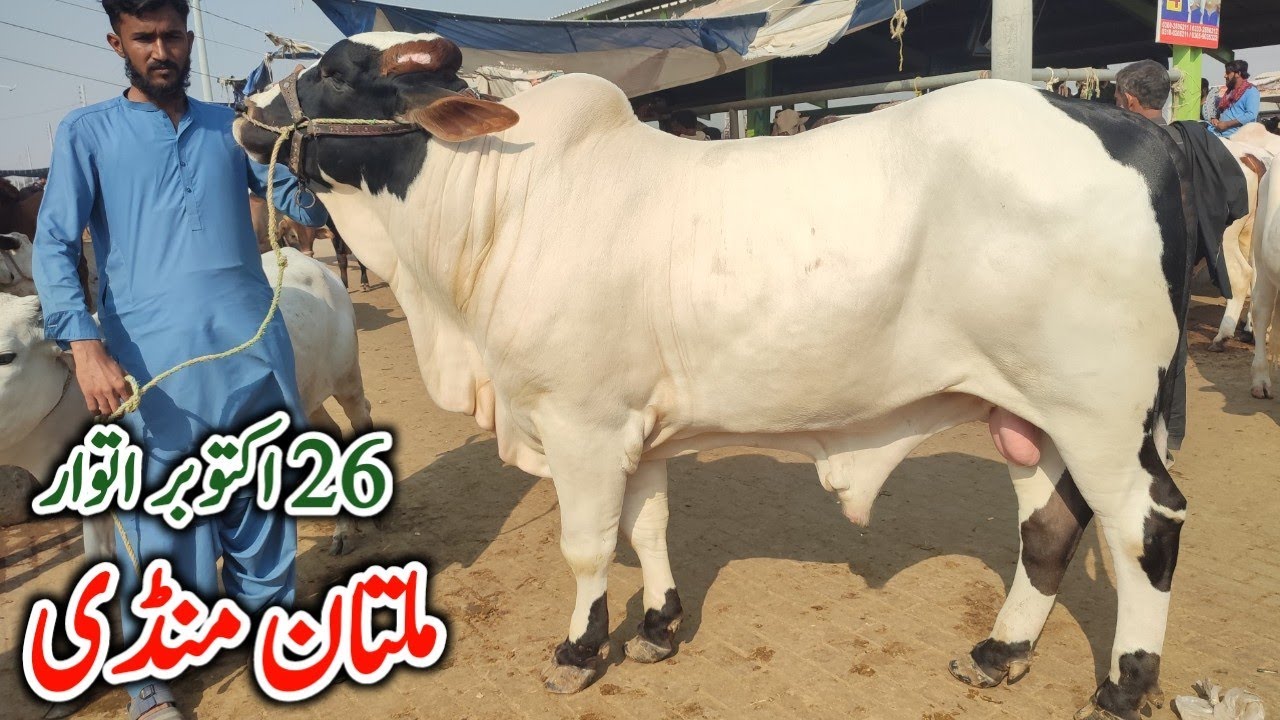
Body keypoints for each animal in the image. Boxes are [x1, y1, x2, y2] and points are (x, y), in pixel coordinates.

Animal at [235, 33, 1193, 719]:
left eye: (333, 71)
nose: (244, 107)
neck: (505, 204)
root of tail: (1138, 129)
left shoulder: (581, 425)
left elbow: (588, 547)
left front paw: (580, 651)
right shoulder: (637, 427)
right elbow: (649, 527)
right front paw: (658, 628)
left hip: (1103, 418)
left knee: (1145, 528)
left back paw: (1123, 686)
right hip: (1026, 415)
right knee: (1051, 528)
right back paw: (1000, 654)